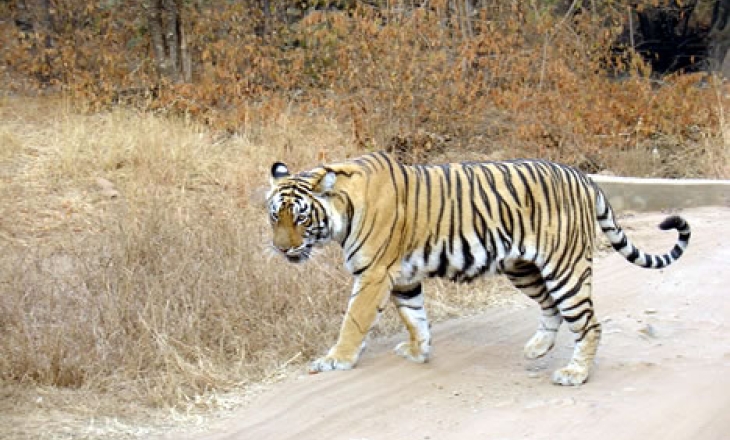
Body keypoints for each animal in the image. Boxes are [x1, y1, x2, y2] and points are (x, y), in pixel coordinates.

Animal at [266, 151, 690, 386]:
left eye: (300, 218)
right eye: (274, 216)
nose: (281, 248)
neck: (343, 211)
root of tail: (584, 177)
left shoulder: (373, 274)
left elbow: (353, 321)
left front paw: (336, 359)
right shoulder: (403, 276)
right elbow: (415, 317)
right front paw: (419, 351)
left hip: (565, 268)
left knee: (588, 322)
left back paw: (575, 374)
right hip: (522, 268)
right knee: (551, 307)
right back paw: (538, 348)